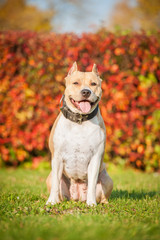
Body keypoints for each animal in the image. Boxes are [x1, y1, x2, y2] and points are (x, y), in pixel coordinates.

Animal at [45, 62, 113, 206]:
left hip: (107, 179)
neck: (80, 121)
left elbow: (92, 183)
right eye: (75, 83)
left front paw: (91, 203)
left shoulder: (95, 158)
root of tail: (77, 197)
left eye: (93, 84)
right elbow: (55, 183)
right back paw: (57, 200)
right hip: (51, 177)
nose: (86, 91)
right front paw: (51, 202)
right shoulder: (57, 157)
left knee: (103, 195)